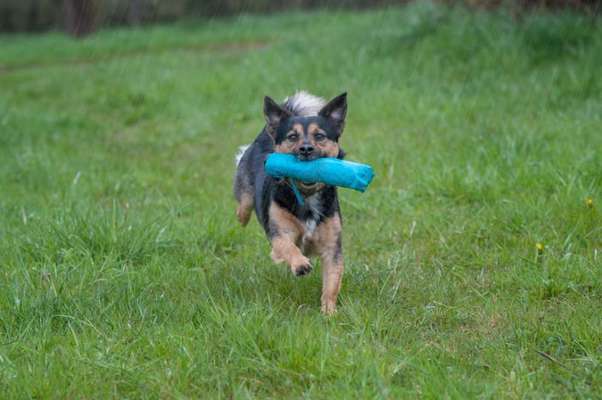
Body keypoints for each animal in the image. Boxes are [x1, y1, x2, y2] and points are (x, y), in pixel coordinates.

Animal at [234, 91, 346, 316]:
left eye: (319, 136)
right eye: (292, 136)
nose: (306, 149)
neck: (306, 195)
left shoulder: (332, 247)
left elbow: (332, 282)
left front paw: (329, 313)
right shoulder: (278, 232)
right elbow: (287, 246)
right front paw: (301, 264)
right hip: (245, 194)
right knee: (243, 207)